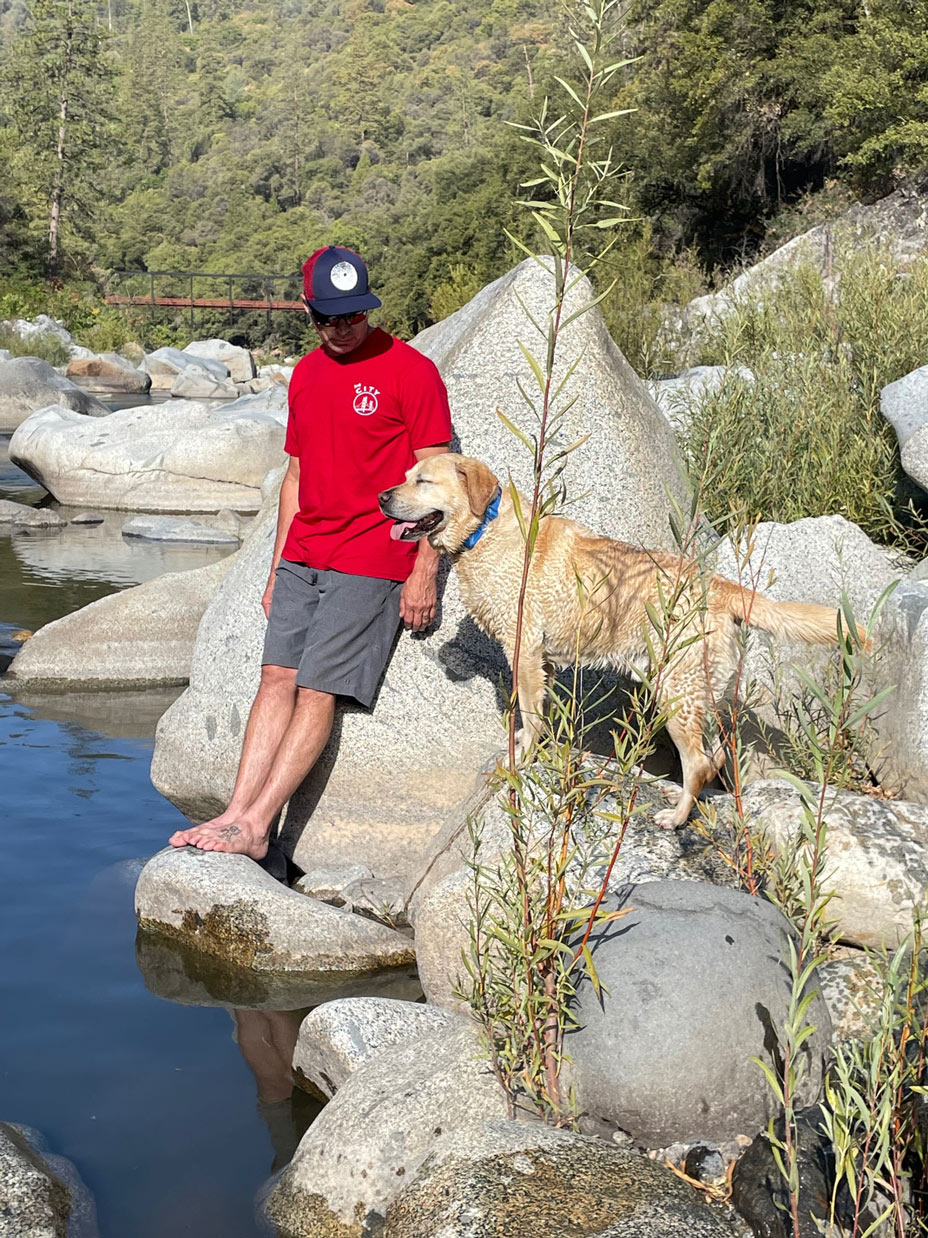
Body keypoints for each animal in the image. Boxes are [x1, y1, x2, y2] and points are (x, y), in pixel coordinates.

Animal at [378, 455, 866, 831]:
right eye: (406, 475)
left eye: (423, 480)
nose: (382, 498)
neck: (485, 531)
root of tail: (721, 585)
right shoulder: (544, 662)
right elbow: (540, 714)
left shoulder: (526, 651)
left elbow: (531, 715)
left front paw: (524, 756)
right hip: (704, 694)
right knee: (715, 756)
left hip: (674, 695)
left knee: (699, 761)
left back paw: (677, 818)